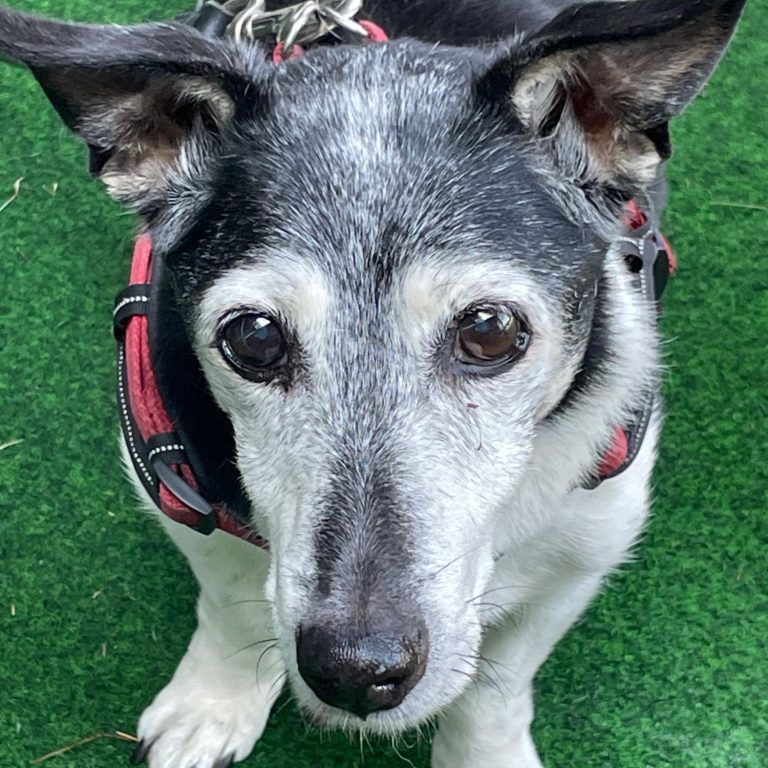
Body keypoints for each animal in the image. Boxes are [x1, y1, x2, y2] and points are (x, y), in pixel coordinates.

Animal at [0, 1, 746, 766]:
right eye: (254, 338)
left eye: (490, 330)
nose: (358, 671)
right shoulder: (180, 492)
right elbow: (237, 605)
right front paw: (213, 704)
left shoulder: (588, 544)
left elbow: (496, 684)